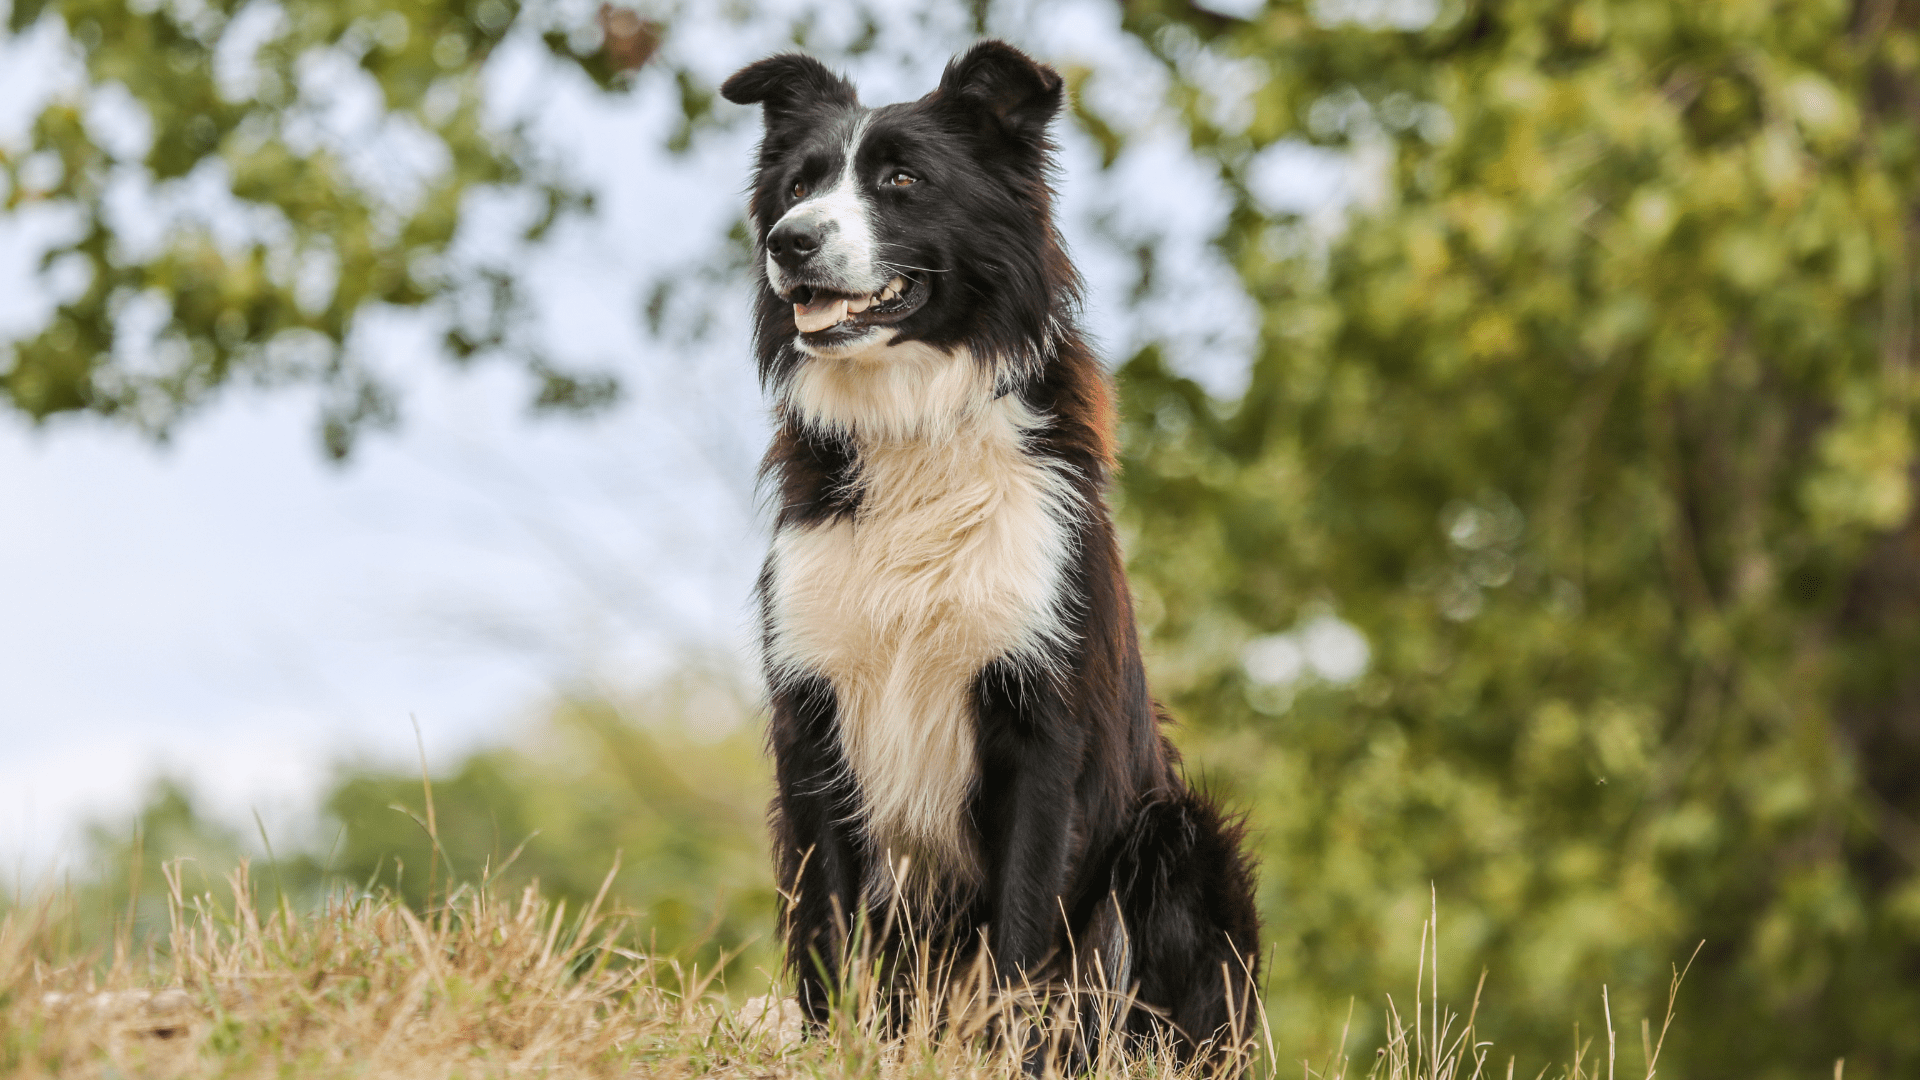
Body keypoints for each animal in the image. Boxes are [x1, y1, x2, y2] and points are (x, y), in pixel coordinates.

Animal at [721, 39, 1259, 1060]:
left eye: (901, 179)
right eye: (800, 184)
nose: (789, 243)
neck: (913, 422)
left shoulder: (1039, 724)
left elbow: (1020, 930)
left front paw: (1007, 1054)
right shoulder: (814, 713)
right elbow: (827, 925)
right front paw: (835, 1048)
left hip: (1179, 838)